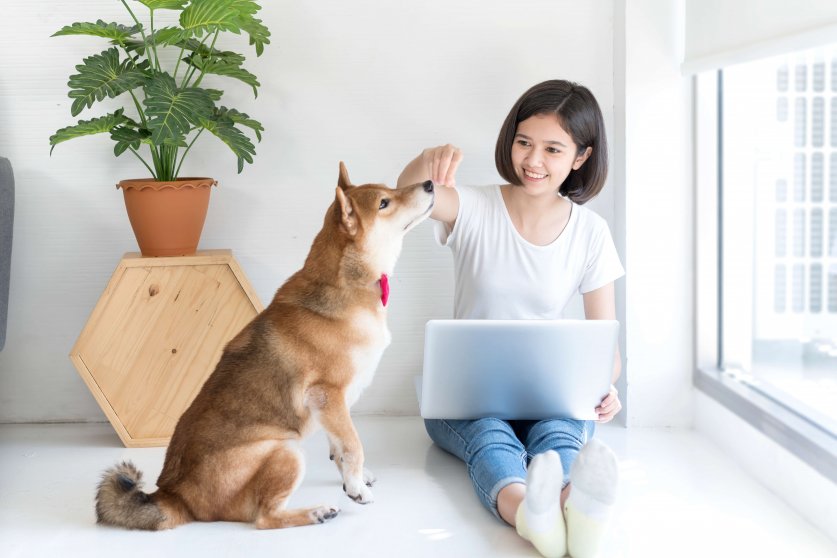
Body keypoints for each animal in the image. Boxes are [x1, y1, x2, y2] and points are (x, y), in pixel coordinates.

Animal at [94, 164, 434, 532]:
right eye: (384, 202)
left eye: (390, 190)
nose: (431, 183)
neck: (346, 284)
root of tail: (174, 494)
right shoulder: (328, 394)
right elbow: (353, 444)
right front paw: (356, 488)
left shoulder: (331, 407)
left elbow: (339, 447)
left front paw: (351, 479)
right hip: (286, 451)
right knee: (265, 519)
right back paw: (315, 512)